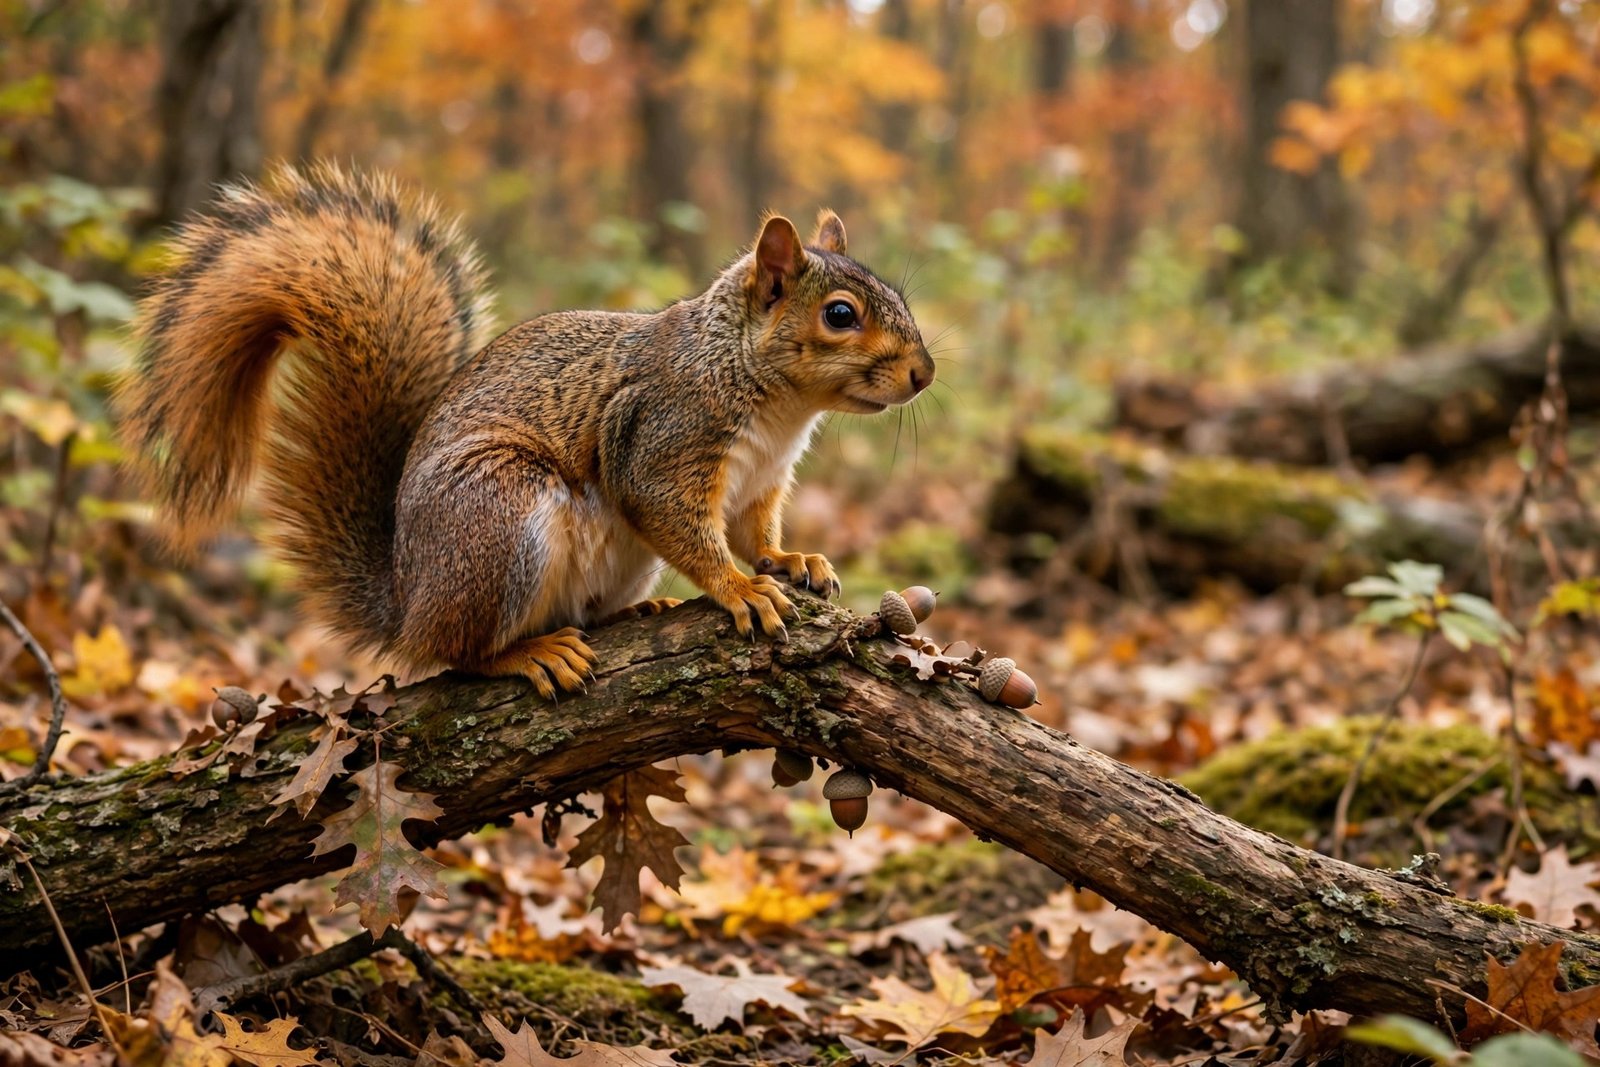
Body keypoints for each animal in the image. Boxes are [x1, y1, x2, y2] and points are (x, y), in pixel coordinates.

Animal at [117, 164, 935, 698]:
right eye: (840, 314)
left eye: (897, 296)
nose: (924, 373)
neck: (776, 406)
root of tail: (407, 597)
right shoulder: (663, 437)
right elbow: (680, 522)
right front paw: (740, 589)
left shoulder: (761, 481)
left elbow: (754, 532)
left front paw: (792, 560)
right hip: (500, 514)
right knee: (452, 654)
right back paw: (529, 654)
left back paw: (635, 610)